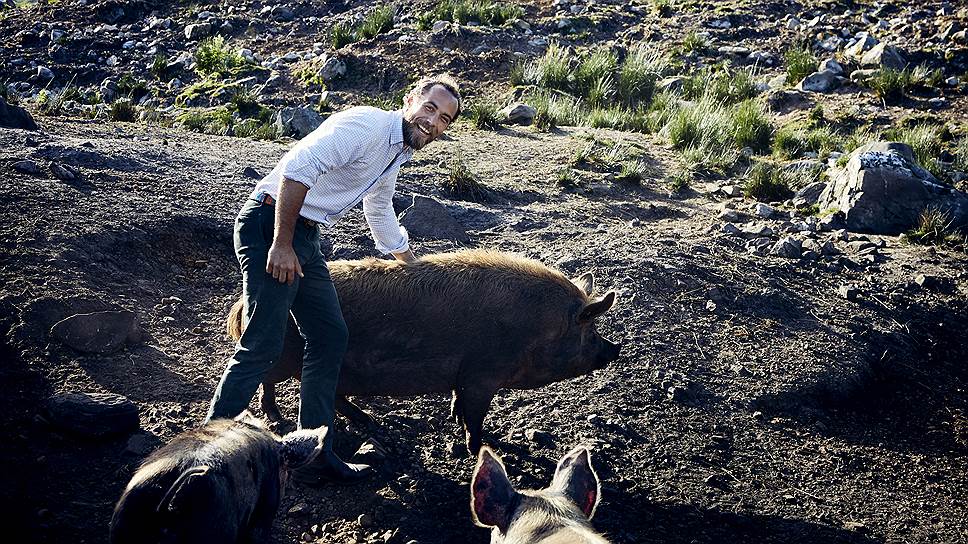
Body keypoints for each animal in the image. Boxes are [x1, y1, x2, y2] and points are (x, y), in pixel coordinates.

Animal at [227, 249, 620, 452]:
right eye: (589, 330)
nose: (614, 348)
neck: (534, 329)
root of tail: (243, 303)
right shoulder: (482, 376)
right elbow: (475, 417)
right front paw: (479, 448)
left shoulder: (466, 378)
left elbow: (459, 403)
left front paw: (454, 419)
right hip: (282, 356)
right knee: (267, 380)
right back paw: (276, 417)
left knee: (336, 397)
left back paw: (369, 421)